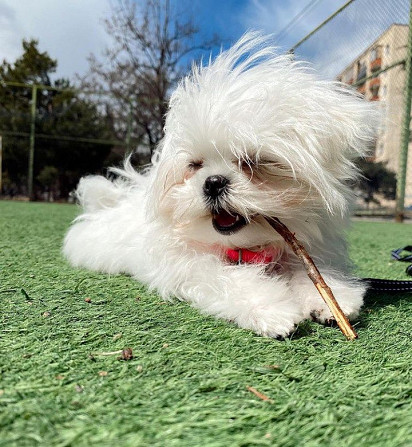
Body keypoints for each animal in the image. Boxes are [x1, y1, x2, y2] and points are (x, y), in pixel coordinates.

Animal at [63, 33, 376, 338]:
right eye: (195, 165)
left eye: (252, 161)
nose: (213, 183)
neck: (243, 247)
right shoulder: (188, 264)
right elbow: (229, 278)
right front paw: (272, 309)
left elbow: (308, 270)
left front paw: (334, 300)